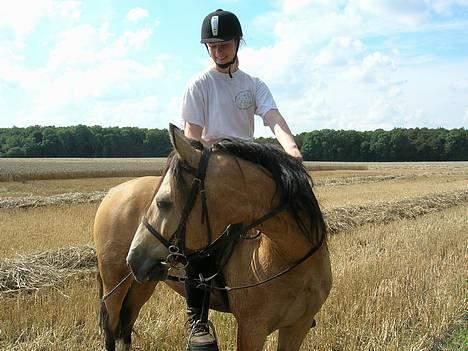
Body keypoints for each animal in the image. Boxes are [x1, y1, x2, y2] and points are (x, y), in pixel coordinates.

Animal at [93, 125, 330, 350]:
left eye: (163, 202)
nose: (134, 257)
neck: (288, 256)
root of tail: (113, 192)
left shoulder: (297, 327)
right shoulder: (252, 329)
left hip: (141, 284)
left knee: (126, 325)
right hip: (114, 284)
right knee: (111, 330)